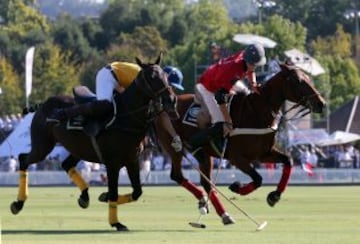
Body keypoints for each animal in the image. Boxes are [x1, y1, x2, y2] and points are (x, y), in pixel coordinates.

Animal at [8, 54, 177, 232]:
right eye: (152, 77)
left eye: (166, 77)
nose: (171, 100)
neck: (127, 117)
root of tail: (43, 104)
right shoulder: (112, 163)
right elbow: (115, 192)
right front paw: (116, 222)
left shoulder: (132, 159)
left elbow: (137, 191)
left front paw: (104, 197)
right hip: (43, 146)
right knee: (23, 159)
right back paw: (18, 203)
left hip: (77, 148)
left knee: (66, 164)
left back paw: (84, 196)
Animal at [155, 64, 326, 223]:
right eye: (298, 81)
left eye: (309, 78)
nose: (321, 104)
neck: (256, 112)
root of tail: (162, 108)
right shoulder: (237, 158)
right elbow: (258, 179)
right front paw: (237, 187)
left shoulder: (263, 154)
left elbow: (288, 161)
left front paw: (274, 196)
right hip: (173, 147)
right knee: (179, 175)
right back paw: (215, 208)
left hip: (204, 154)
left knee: (205, 181)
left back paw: (217, 211)